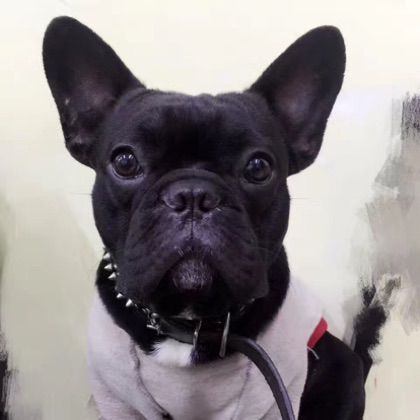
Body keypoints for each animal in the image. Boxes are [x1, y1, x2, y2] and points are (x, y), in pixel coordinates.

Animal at [43, 17, 372, 419]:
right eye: (125, 161)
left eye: (259, 167)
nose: (193, 195)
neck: (190, 324)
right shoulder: (117, 399)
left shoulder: (271, 395)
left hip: (341, 366)